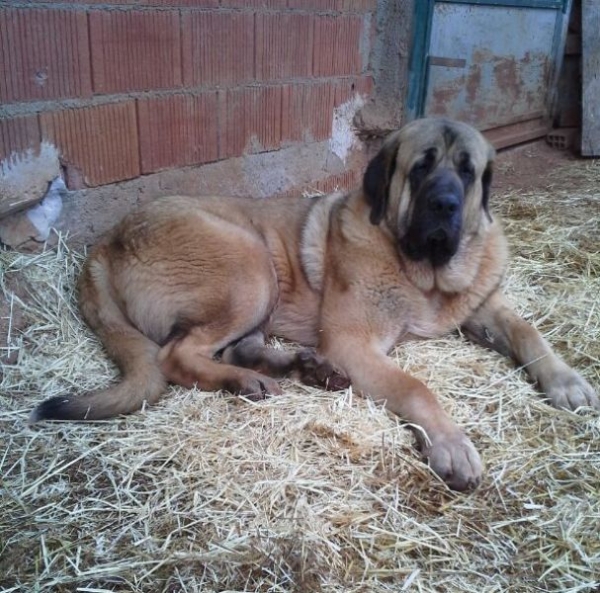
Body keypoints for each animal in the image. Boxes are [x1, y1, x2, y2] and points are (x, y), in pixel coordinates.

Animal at [30, 118, 596, 488]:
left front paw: (567, 381)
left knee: (233, 347)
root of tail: (104, 243)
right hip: (250, 264)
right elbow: (416, 386)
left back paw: (302, 369)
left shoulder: (484, 307)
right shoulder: (353, 343)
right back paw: (250, 381)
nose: (446, 205)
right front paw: (451, 444)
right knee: (176, 356)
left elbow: (528, 331)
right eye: (421, 169)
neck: (426, 275)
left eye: (468, 171)